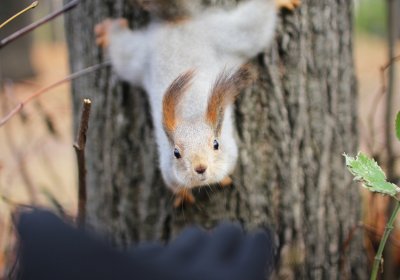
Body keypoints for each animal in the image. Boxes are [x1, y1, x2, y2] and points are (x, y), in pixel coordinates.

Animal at [94, 0, 300, 206]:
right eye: (176, 153)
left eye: (216, 144)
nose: (200, 167)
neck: (190, 115)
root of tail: (178, 24)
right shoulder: (167, 170)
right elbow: (175, 185)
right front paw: (182, 194)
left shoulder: (232, 152)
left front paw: (224, 178)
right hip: (139, 57)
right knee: (122, 51)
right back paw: (107, 32)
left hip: (226, 35)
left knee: (254, 26)